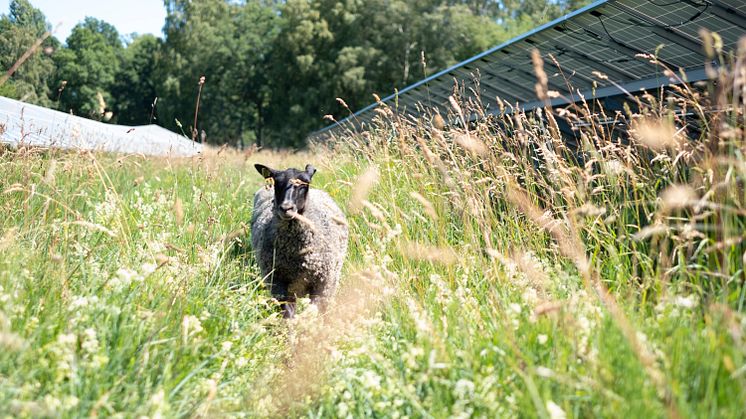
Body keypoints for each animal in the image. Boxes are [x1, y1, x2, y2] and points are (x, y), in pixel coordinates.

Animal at [247, 164, 346, 318]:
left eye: (306, 183)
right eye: (276, 182)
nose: (286, 208)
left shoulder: (323, 285)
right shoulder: (279, 284)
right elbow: (288, 315)